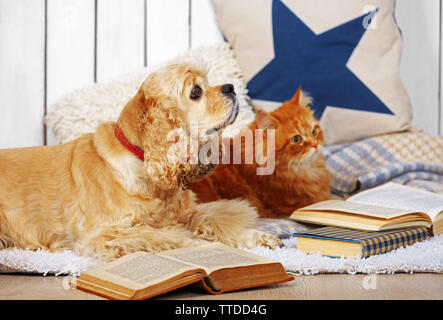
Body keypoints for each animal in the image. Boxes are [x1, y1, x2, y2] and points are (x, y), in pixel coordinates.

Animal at [0, 61, 282, 262]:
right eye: (196, 91)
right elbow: (166, 237)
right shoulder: (105, 233)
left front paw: (258, 236)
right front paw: (204, 246)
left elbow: (214, 221)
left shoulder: (185, 215)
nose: (231, 87)